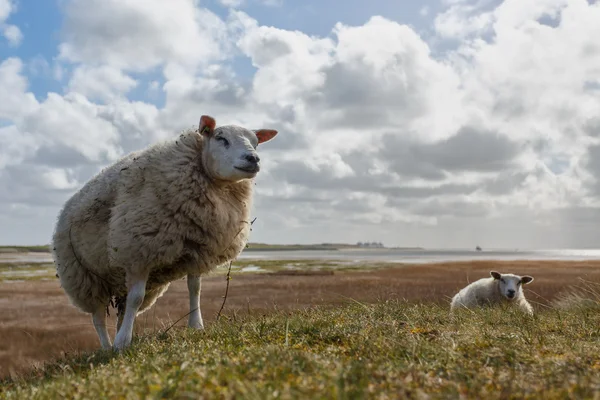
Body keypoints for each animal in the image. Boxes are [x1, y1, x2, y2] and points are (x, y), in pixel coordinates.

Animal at [51, 115, 278, 350]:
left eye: (256, 143)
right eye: (221, 138)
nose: (253, 158)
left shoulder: (196, 250)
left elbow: (194, 288)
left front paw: (196, 326)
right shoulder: (137, 252)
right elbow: (136, 298)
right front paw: (122, 342)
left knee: (123, 308)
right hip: (84, 277)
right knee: (98, 316)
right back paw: (107, 347)